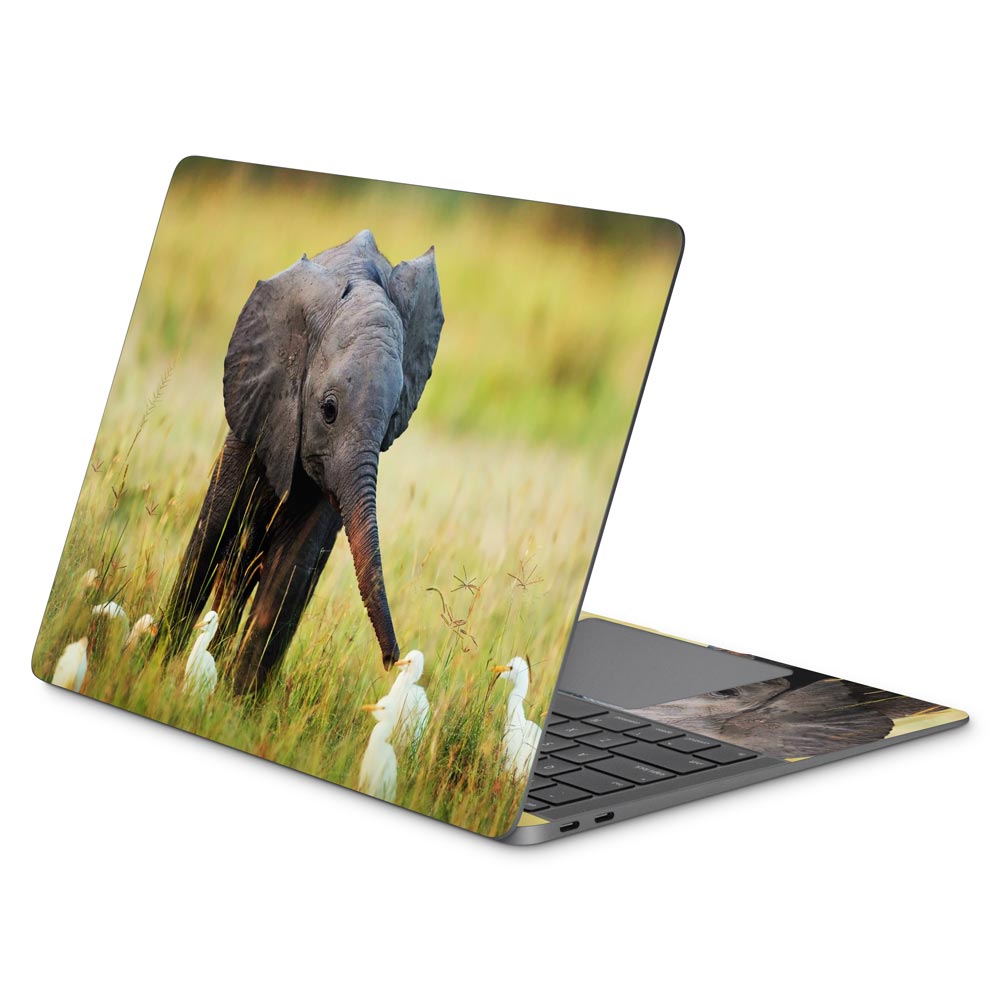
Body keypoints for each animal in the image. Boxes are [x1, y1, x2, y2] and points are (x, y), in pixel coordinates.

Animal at [166, 230, 444, 695]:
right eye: (328, 410)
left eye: (392, 420)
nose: (394, 660)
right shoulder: (261, 400)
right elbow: (214, 531)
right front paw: (150, 661)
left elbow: (293, 566)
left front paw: (237, 703)